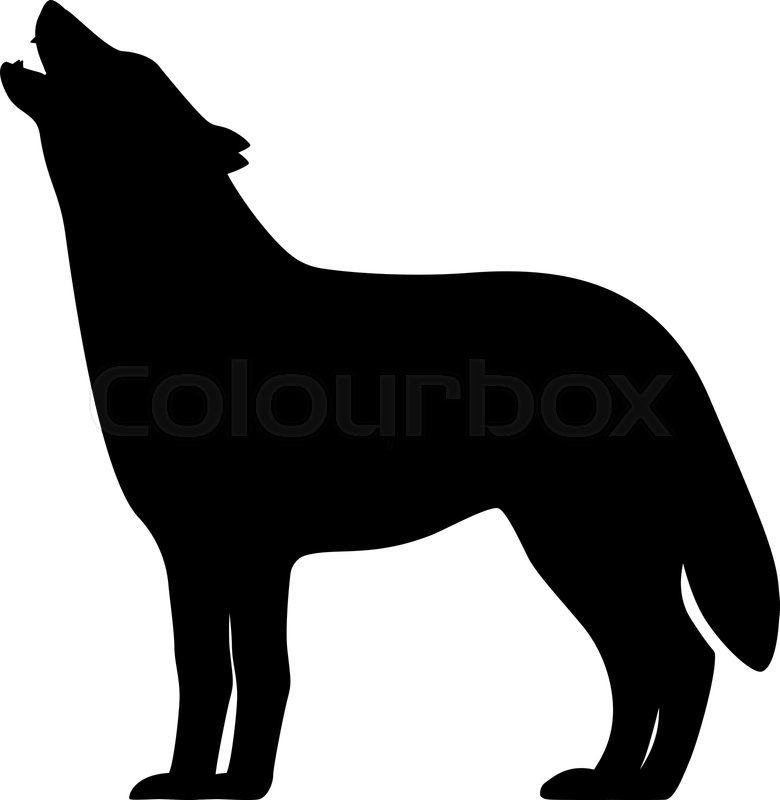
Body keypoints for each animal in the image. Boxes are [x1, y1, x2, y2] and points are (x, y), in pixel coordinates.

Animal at [3, 3, 778, 799]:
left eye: (127, 68)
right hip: (583, 546)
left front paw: (235, 784)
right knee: (642, 666)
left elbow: (258, 673)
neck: (183, 290)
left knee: (680, 660)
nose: (53, 9)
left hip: (586, 540)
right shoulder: (191, 551)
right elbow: (207, 674)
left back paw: (643, 786)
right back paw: (607, 779)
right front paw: (192, 781)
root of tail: (658, 335)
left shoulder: (251, 551)